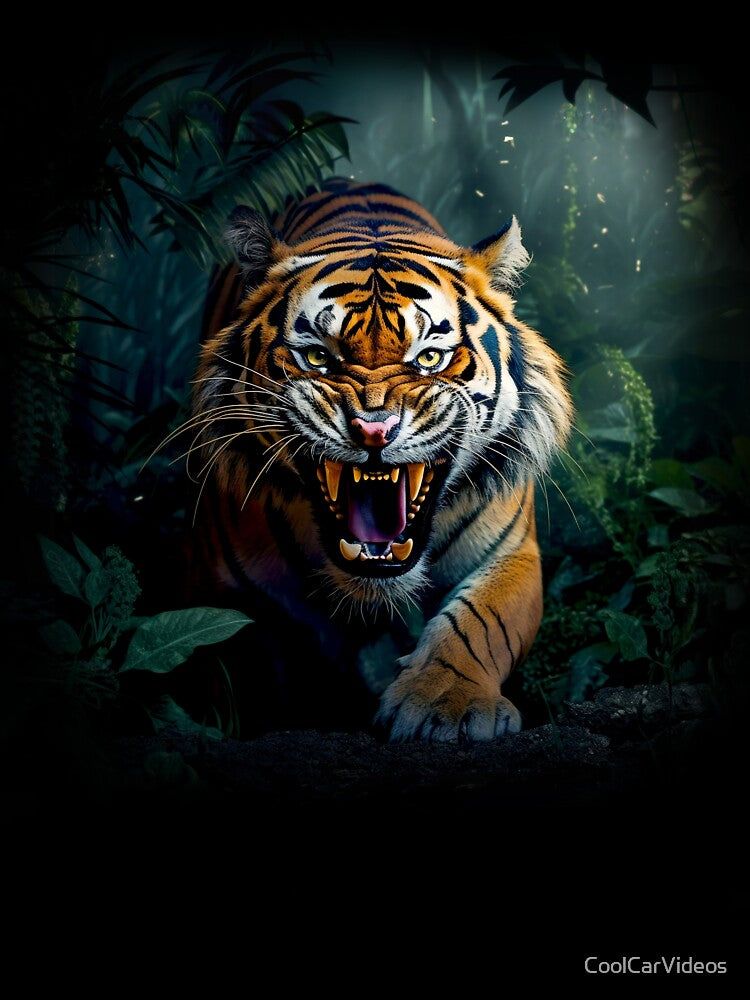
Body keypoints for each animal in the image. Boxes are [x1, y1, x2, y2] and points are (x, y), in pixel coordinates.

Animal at [188, 179, 572, 741]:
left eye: (429, 358)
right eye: (318, 357)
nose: (374, 429)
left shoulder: (511, 553)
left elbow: (481, 623)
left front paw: (446, 706)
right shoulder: (225, 588)